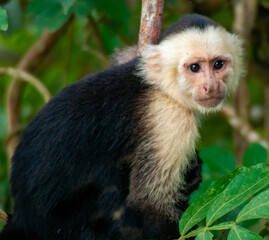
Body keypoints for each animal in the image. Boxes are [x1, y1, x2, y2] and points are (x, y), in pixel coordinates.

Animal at [0, 13, 243, 240]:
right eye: (194, 68)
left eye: (218, 64)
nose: (211, 86)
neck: (162, 89)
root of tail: (22, 215)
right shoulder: (169, 118)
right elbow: (150, 204)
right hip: (64, 222)